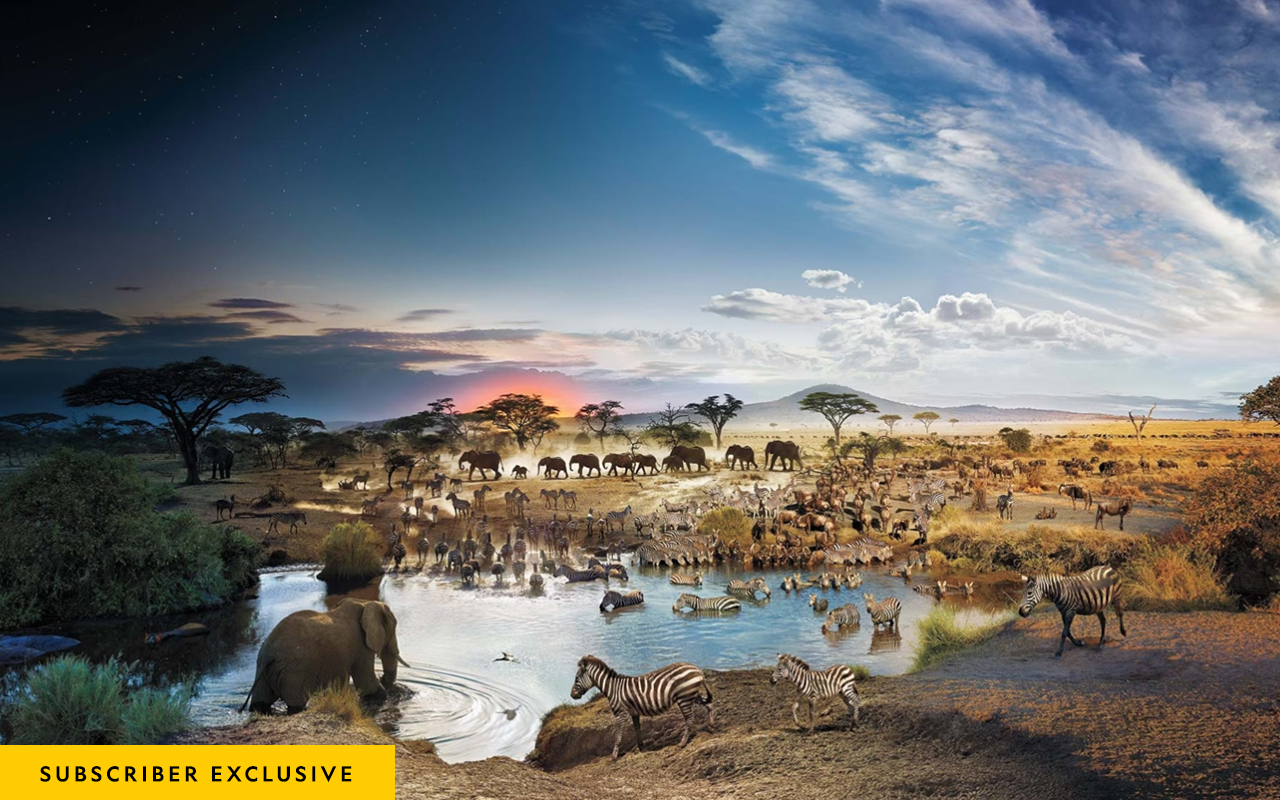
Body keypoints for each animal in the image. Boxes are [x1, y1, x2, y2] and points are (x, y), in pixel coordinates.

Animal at [240, 596, 409, 716]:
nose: (385, 680)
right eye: (393, 627)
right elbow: (366, 682)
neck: (365, 602)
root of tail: (268, 654)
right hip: (293, 673)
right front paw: (383, 694)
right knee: (296, 703)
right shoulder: (361, 645)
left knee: (260, 702)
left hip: (264, 669)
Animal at [573, 652, 716, 757]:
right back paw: (711, 725)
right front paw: (641, 747)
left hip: (684, 698)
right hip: (691, 695)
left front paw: (614, 755)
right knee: (709, 704)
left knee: (690, 719)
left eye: (576, 678)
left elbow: (618, 734)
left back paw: (683, 742)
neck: (613, 688)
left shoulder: (621, 714)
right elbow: (637, 729)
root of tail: (697, 669)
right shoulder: (634, 713)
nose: (572, 695)